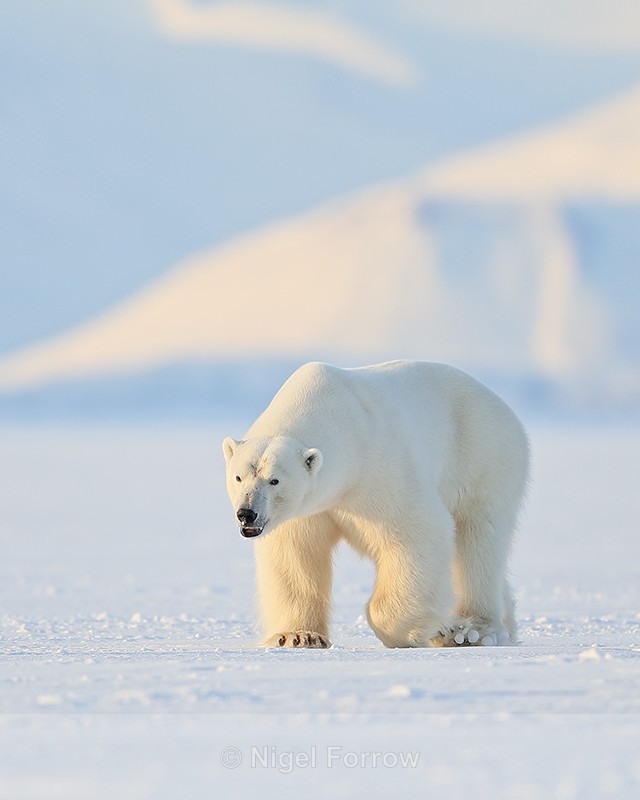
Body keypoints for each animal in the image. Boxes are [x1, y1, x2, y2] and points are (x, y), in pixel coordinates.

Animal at [222, 360, 529, 649]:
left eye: (274, 480)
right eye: (238, 476)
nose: (247, 514)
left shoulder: (378, 468)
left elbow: (417, 532)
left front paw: (427, 629)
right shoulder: (309, 507)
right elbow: (295, 553)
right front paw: (298, 636)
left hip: (482, 458)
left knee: (477, 542)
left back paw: (471, 630)